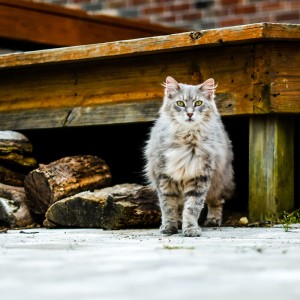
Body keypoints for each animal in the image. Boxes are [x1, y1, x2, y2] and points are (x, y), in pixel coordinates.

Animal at [144, 77, 234, 237]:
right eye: (180, 103)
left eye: (198, 103)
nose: (190, 114)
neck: (187, 137)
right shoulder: (165, 177)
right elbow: (168, 207)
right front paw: (169, 227)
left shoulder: (200, 177)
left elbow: (192, 208)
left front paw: (191, 229)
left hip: (218, 182)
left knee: (216, 202)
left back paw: (213, 220)